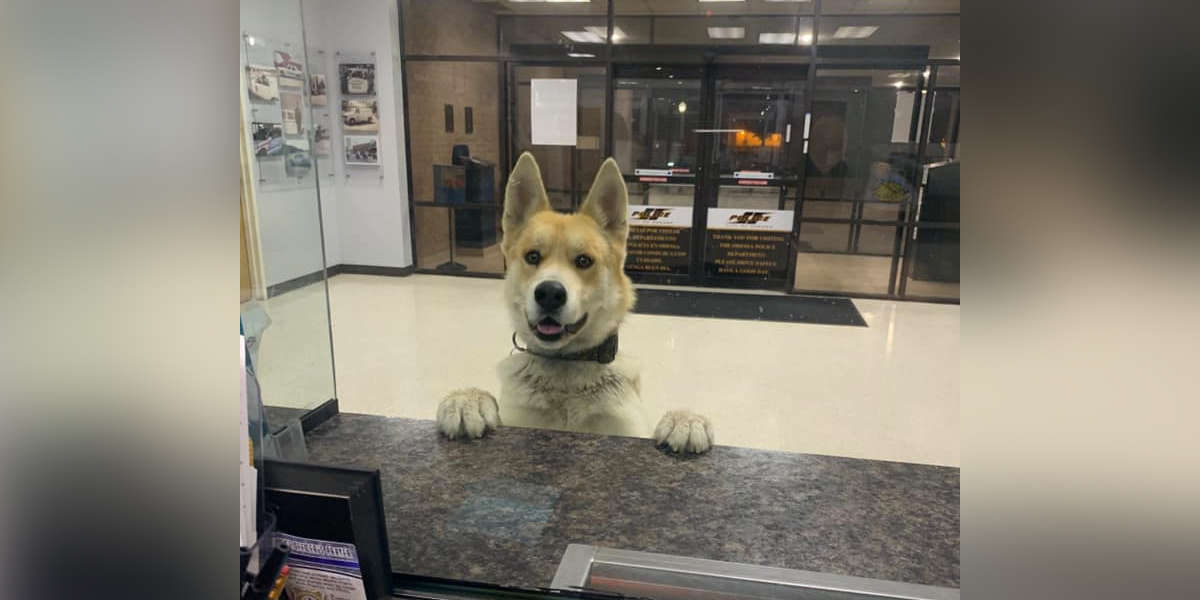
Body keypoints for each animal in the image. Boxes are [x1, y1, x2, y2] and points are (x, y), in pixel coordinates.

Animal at [439, 152, 710, 451]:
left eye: (583, 261)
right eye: (533, 256)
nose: (549, 293)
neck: (566, 366)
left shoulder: (630, 430)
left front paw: (684, 420)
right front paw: (468, 399)